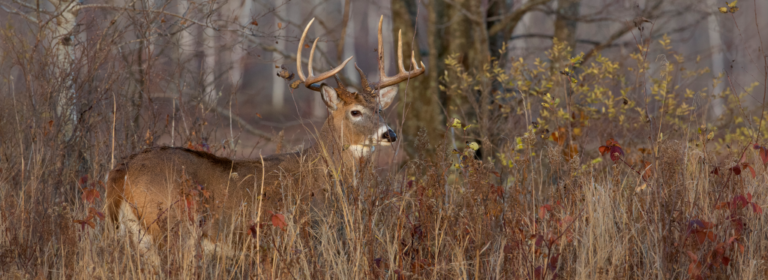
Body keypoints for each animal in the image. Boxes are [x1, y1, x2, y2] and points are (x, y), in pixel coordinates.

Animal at [105, 16, 424, 262]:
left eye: (380, 109)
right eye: (355, 112)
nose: (389, 134)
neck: (323, 175)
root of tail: (119, 173)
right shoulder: (299, 231)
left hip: (137, 233)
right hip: (168, 226)